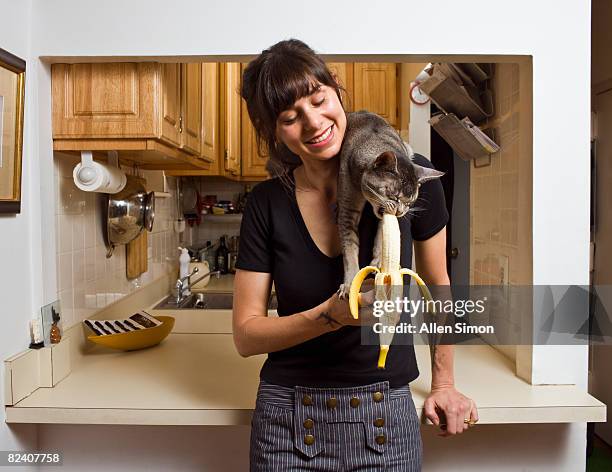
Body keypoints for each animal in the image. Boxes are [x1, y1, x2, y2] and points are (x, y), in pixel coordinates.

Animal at [338, 110, 442, 298]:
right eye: (395, 196)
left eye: (410, 202)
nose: (400, 212)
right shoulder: (347, 209)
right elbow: (349, 251)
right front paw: (349, 284)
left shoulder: (385, 216)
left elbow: (381, 234)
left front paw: (379, 260)